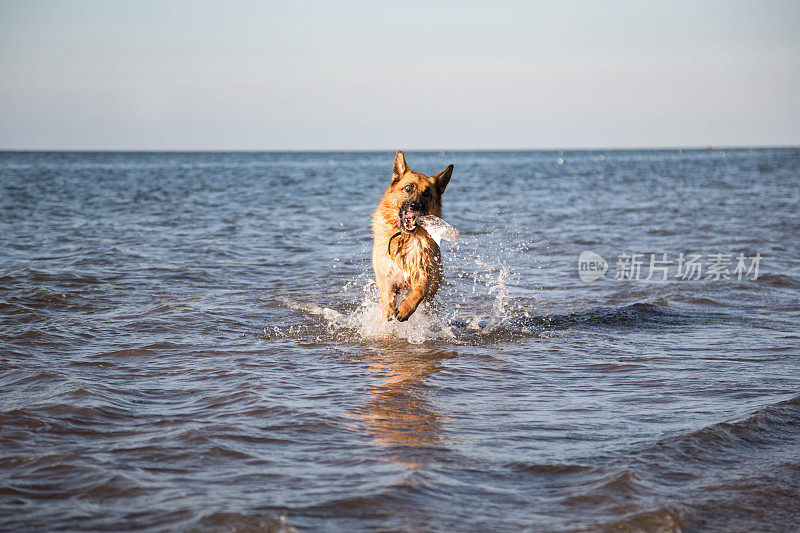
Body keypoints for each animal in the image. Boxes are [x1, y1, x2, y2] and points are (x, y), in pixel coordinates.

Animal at [372, 152, 454, 322]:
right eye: (408, 188)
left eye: (427, 193)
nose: (415, 206)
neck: (405, 237)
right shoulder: (388, 282)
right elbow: (388, 307)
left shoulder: (421, 273)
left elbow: (420, 290)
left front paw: (405, 309)